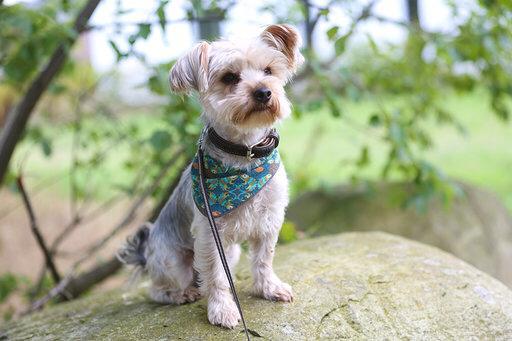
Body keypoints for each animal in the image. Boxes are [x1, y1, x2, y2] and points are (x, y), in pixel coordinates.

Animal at [119, 23, 304, 326]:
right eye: (229, 77)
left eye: (268, 70)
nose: (263, 92)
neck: (246, 155)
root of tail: (146, 255)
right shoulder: (209, 233)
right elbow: (216, 276)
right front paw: (222, 309)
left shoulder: (269, 222)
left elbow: (264, 260)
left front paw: (268, 288)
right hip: (172, 261)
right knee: (159, 289)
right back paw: (182, 293)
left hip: (233, 250)